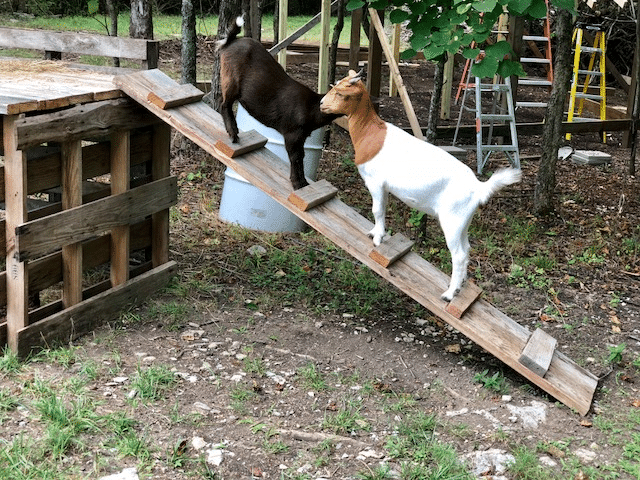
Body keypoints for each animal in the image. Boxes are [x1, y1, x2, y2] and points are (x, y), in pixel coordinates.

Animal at [215, 18, 338, 191]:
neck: (311, 108)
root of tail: (230, 42)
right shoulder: (292, 134)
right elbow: (295, 158)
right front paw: (298, 184)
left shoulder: (301, 137)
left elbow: (301, 157)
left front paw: (303, 184)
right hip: (230, 78)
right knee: (223, 103)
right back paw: (234, 134)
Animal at [320, 70, 520, 302]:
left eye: (340, 93)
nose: (321, 104)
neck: (370, 133)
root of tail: (479, 188)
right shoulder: (385, 187)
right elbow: (382, 210)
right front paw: (375, 232)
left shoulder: (375, 181)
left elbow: (376, 210)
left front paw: (378, 239)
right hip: (463, 222)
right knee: (467, 249)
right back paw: (460, 286)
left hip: (452, 220)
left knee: (459, 255)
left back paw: (449, 294)